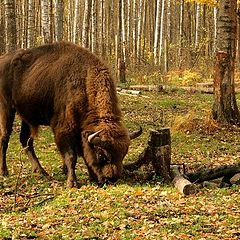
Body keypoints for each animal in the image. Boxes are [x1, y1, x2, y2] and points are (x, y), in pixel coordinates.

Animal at [0, 41, 141, 188]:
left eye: (123, 154)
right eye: (101, 155)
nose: (111, 179)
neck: (85, 81)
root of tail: (3, 60)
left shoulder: (81, 131)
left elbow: (82, 153)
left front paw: (88, 177)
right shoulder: (64, 128)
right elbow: (71, 156)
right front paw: (72, 183)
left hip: (27, 116)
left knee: (25, 140)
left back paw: (41, 171)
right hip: (7, 108)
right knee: (5, 137)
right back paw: (5, 171)